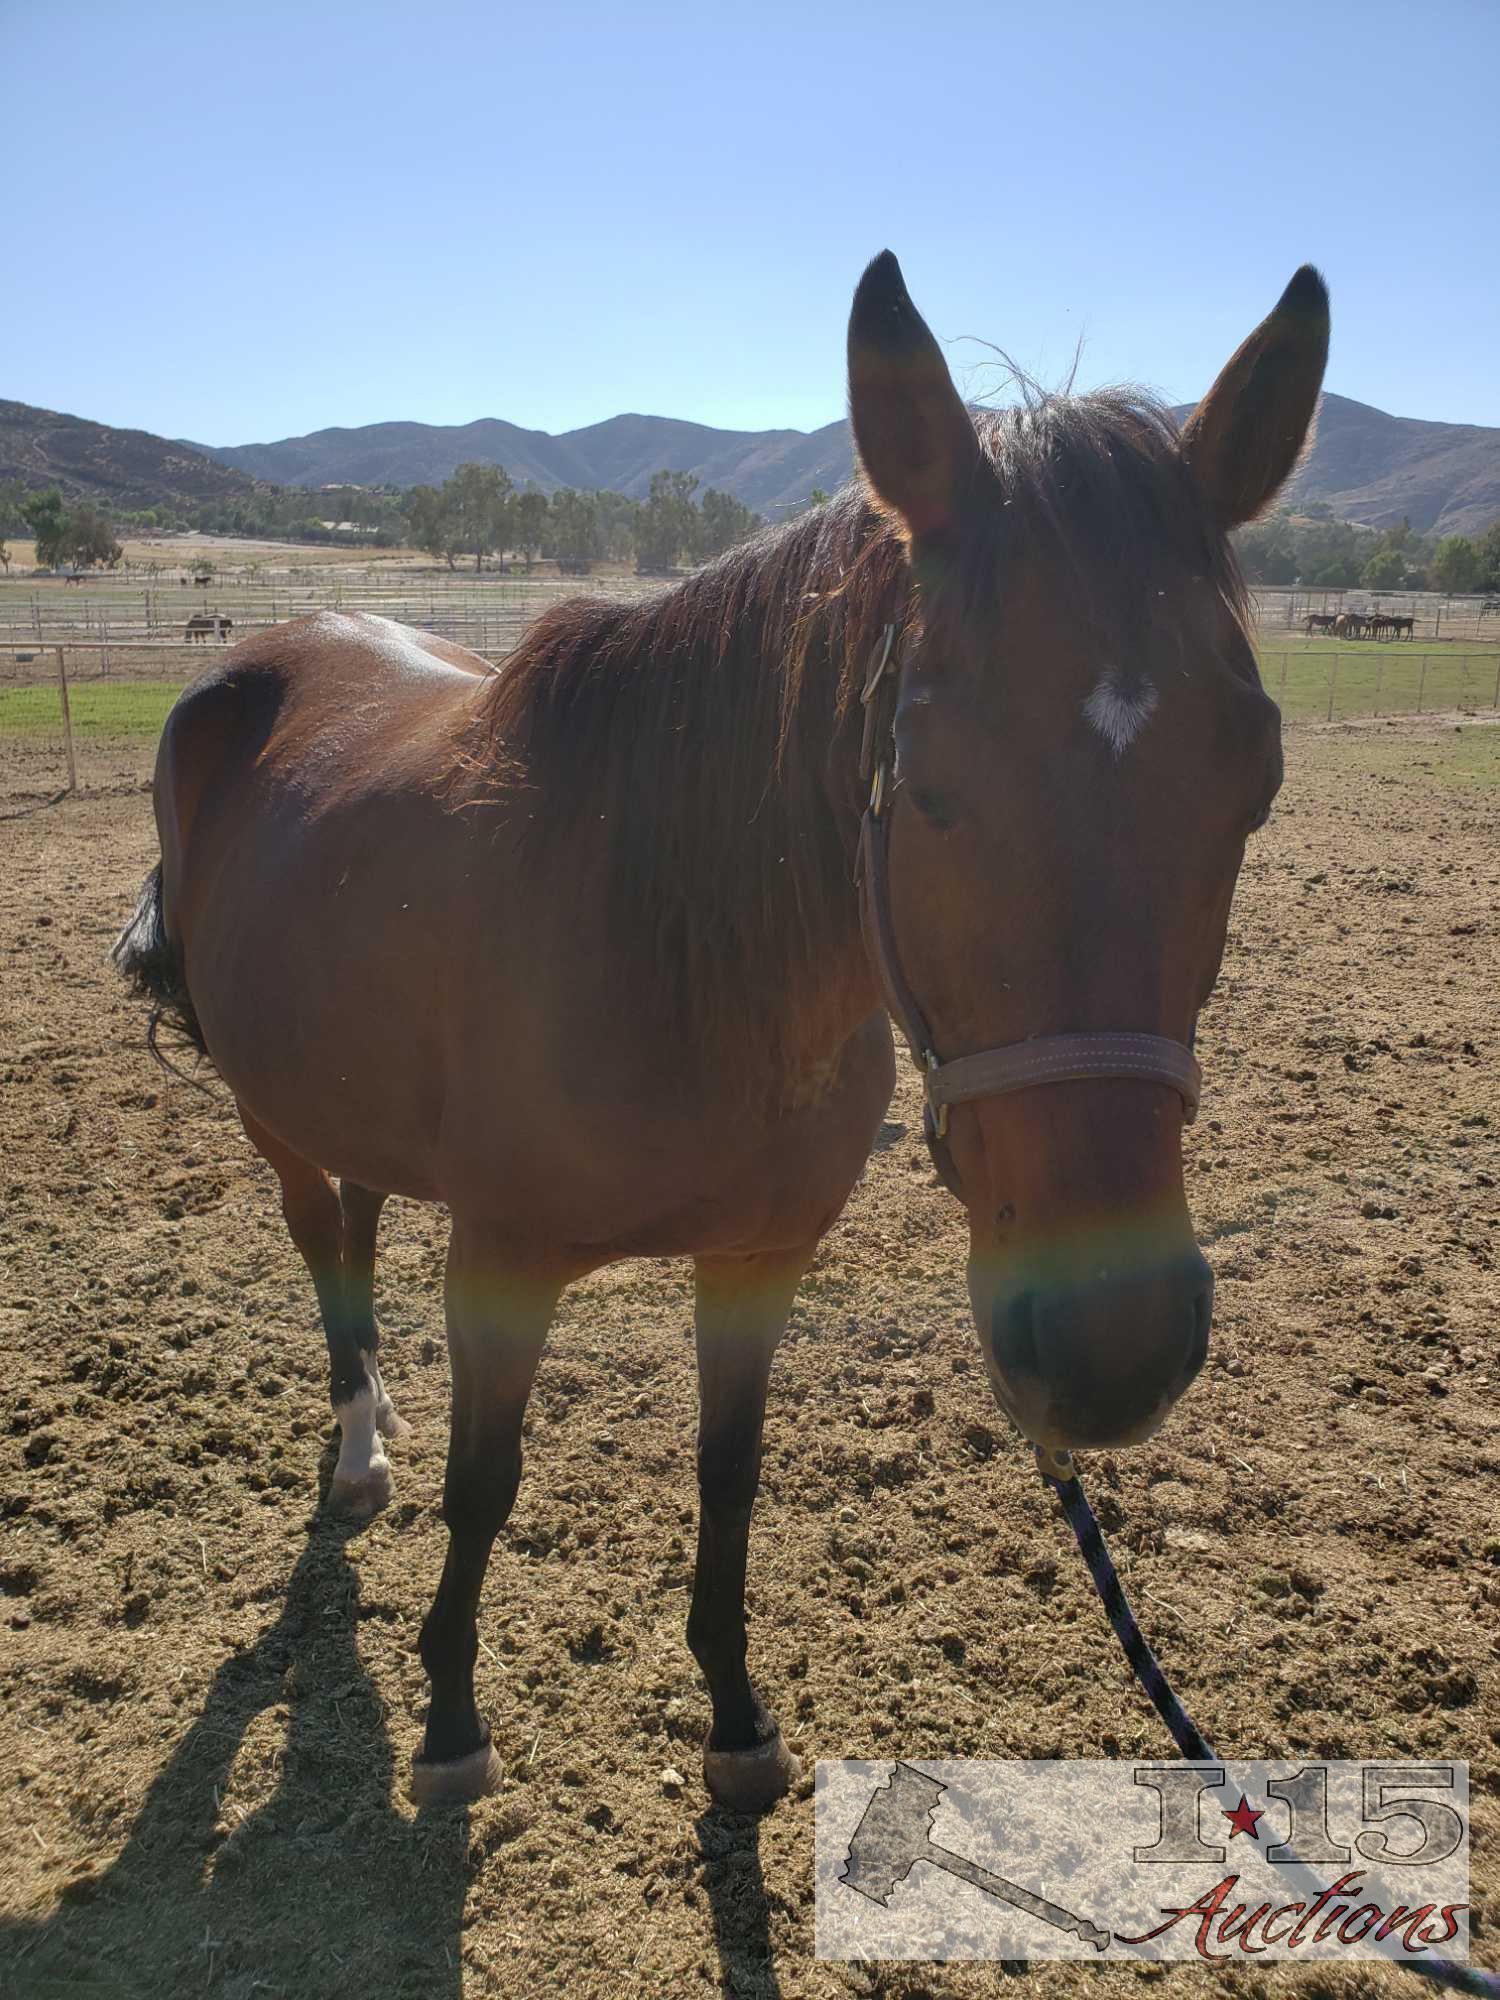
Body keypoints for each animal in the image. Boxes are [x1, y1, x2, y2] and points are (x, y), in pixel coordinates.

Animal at [114, 250, 1328, 1816]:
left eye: (1258, 773)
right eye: (924, 772)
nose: (1110, 1346)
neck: (673, 954)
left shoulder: (759, 1261)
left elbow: (730, 1473)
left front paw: (737, 1716)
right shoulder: (501, 1264)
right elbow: (487, 1484)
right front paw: (451, 1722)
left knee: (364, 1220)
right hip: (271, 1112)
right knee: (323, 1242)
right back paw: (361, 1451)